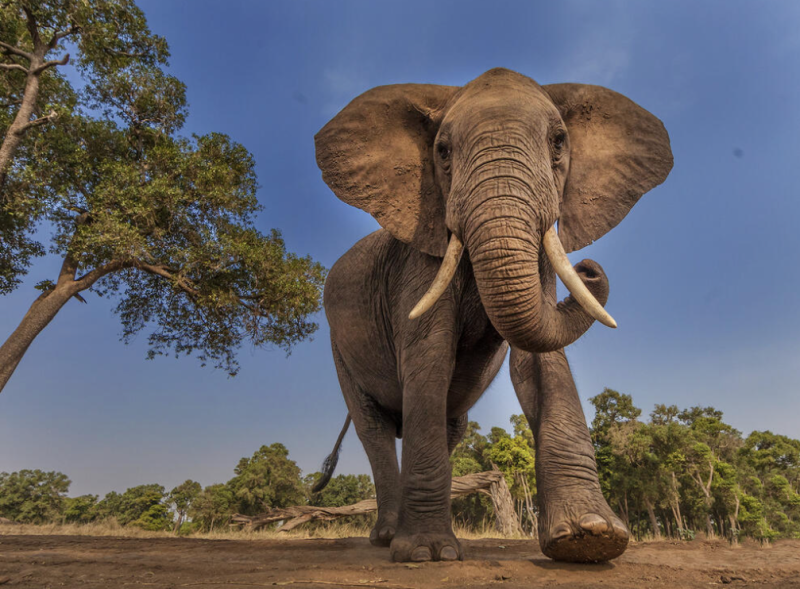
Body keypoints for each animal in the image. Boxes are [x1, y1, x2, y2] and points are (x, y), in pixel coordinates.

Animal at [313, 68, 672, 563]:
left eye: (558, 142)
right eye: (443, 151)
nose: (589, 268)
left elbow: (540, 361)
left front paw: (591, 539)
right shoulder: (419, 260)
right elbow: (428, 357)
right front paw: (426, 554)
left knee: (450, 423)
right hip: (337, 345)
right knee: (373, 427)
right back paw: (388, 538)